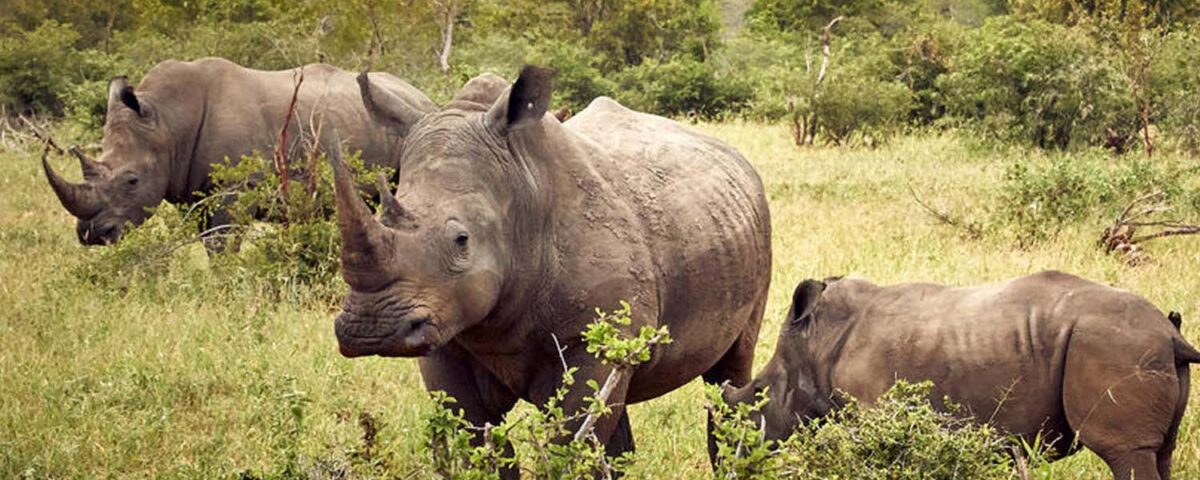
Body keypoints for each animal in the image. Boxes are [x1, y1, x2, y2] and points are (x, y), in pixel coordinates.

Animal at [43, 57, 435, 245]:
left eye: (132, 181)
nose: (93, 236)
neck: (168, 124)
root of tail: (421, 95)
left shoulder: (233, 191)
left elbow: (221, 244)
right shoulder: (193, 190)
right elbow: (210, 242)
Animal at [329, 66, 772, 473]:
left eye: (461, 240)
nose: (369, 329)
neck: (519, 194)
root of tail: (734, 156)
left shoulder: (586, 339)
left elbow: (569, 443)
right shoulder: (446, 337)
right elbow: (477, 442)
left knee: (729, 374)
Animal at [723, 271, 1200, 480]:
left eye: (759, 392)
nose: (726, 461)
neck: (817, 341)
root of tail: (1171, 336)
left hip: (1115, 347)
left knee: (1125, 453)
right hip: (1141, 351)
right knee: (1161, 453)